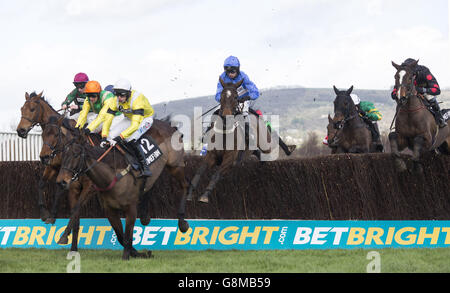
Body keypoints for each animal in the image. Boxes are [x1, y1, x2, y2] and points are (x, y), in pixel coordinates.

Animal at [55, 120, 189, 258]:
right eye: (63, 154)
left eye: (75, 155)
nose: (61, 181)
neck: (112, 175)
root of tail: (171, 126)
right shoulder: (109, 210)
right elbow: (120, 236)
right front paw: (137, 253)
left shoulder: (130, 208)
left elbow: (127, 235)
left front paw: (127, 256)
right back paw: (145, 217)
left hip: (175, 165)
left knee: (185, 185)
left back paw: (182, 223)